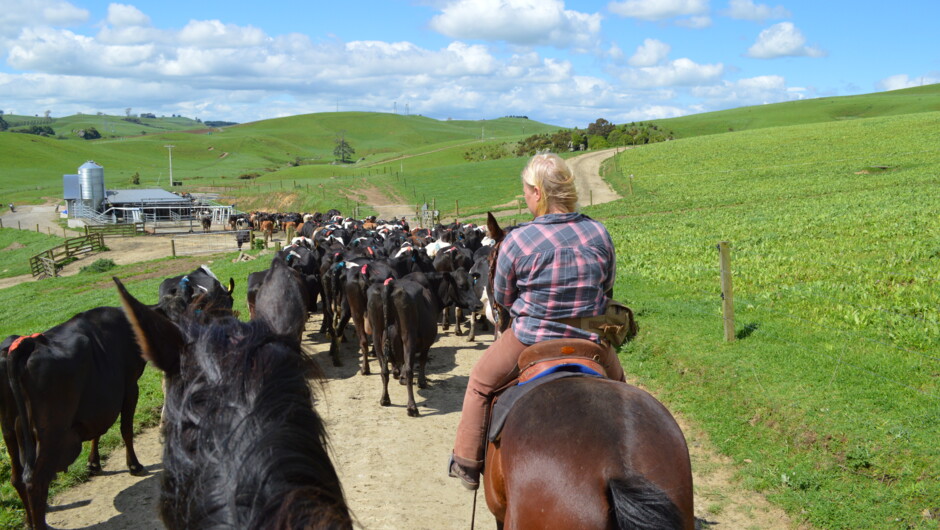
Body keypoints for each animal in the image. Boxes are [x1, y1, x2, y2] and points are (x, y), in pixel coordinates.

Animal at [0, 308, 147, 524]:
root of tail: (27, 345)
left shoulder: (99, 402)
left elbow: (98, 430)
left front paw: (94, 463)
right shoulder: (130, 385)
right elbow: (126, 429)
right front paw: (134, 466)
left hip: (10, 429)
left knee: (17, 478)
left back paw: (30, 519)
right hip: (51, 431)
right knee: (35, 481)